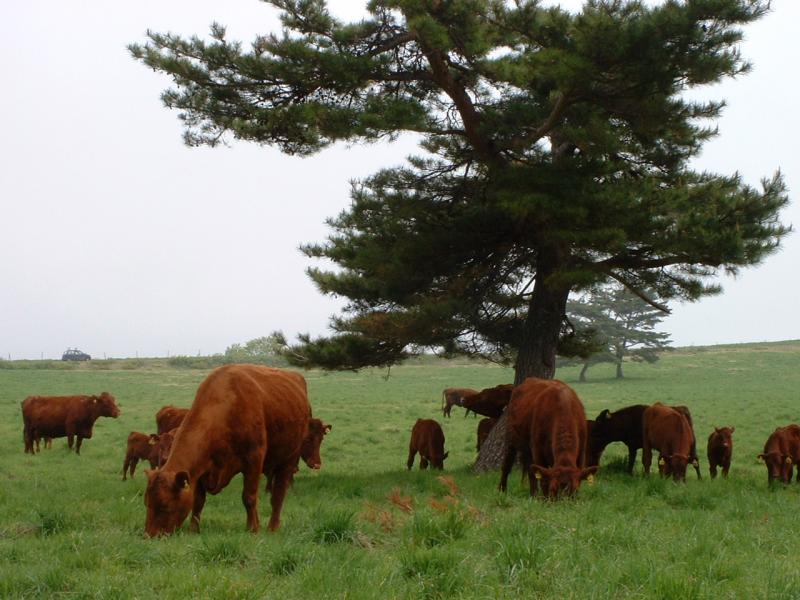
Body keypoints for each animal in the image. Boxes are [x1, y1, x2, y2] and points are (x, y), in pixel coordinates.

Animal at [145, 364, 314, 536]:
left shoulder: (254, 460)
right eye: (147, 503)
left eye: (165, 505)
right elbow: (198, 500)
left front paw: (253, 528)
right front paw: (193, 529)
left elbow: (249, 497)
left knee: (278, 495)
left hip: (289, 458)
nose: (150, 535)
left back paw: (273, 527)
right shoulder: (200, 469)